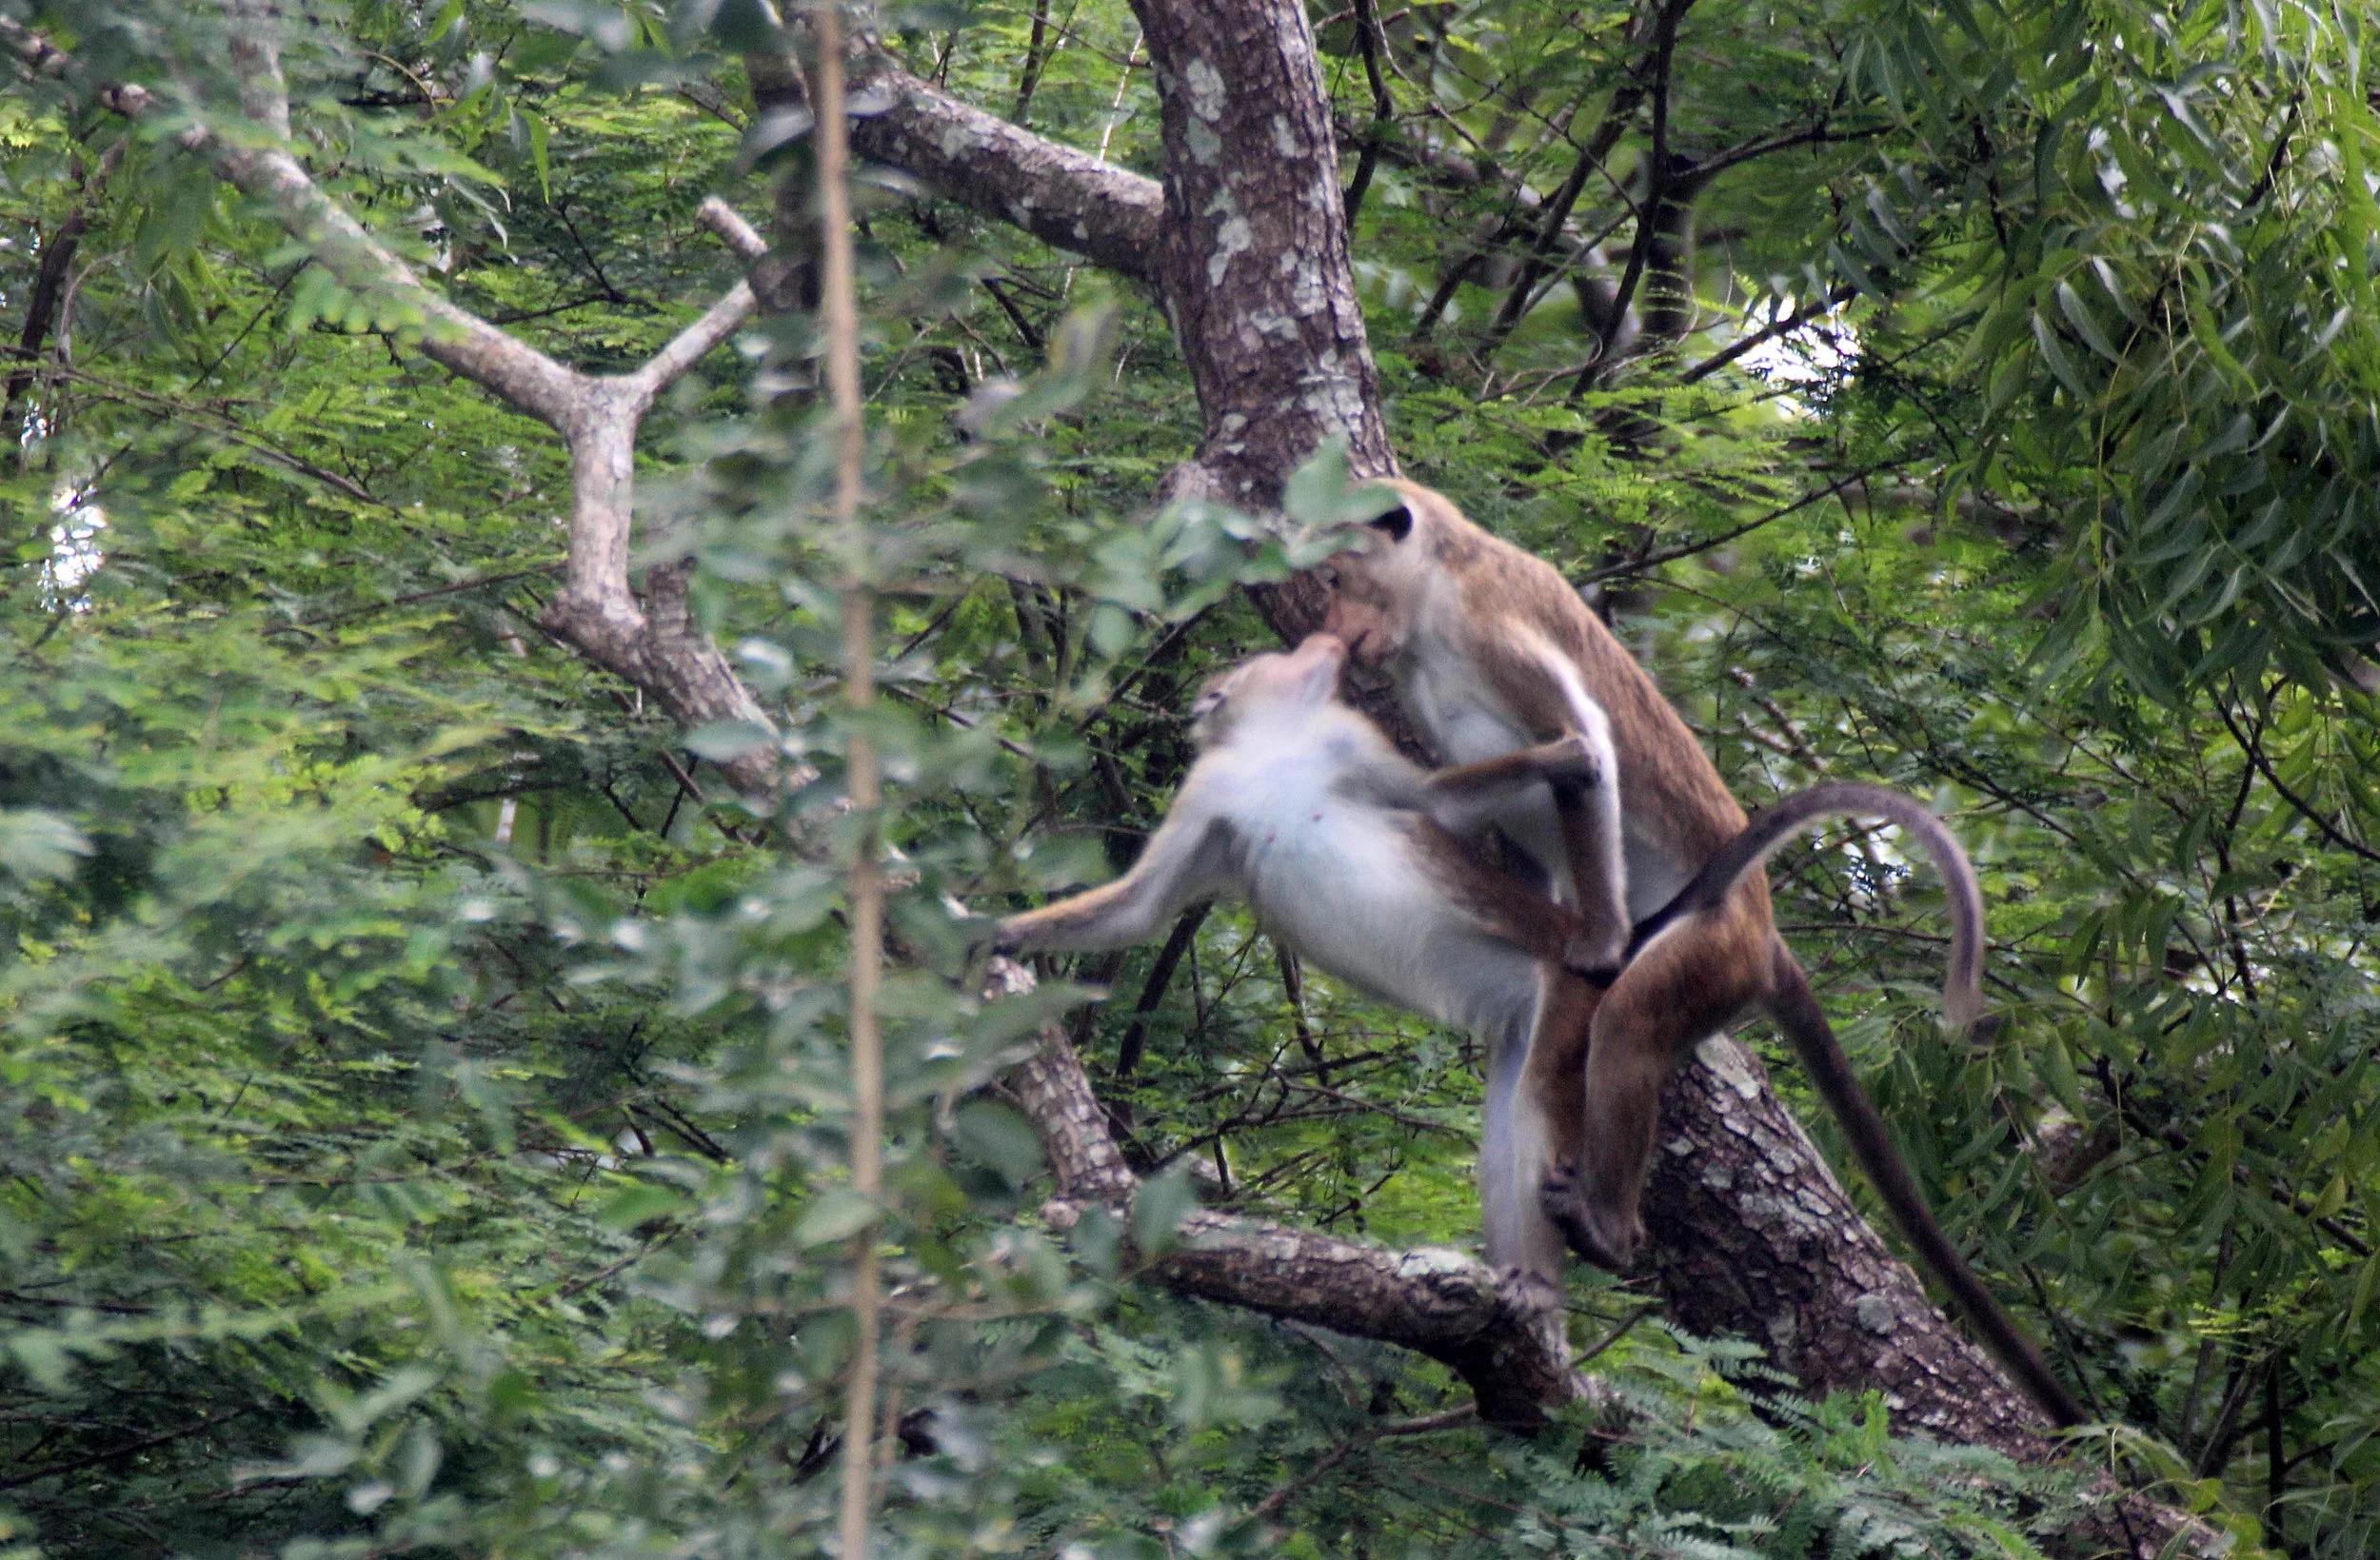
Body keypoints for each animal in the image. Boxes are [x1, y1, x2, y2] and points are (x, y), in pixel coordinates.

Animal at [989, 632, 1607, 1288]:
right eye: (1277, 661)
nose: (1321, 639)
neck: (1273, 748)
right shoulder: (1209, 787)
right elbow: (1138, 909)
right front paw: (1002, 936)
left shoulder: (1342, 736)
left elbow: (1435, 803)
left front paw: (1559, 759)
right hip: (1523, 1010)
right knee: (1517, 1102)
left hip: (1568, 982)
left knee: (1542, 1092)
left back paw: (1569, 1254)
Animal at [1320, 480, 2089, 1429]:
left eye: (1336, 576)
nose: (1334, 624)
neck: (1434, 591)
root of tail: (1760, 928)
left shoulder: (1491, 628)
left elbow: (1585, 755)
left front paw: (1596, 942)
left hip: (1708, 952)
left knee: (1628, 1023)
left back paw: (1609, 1224)